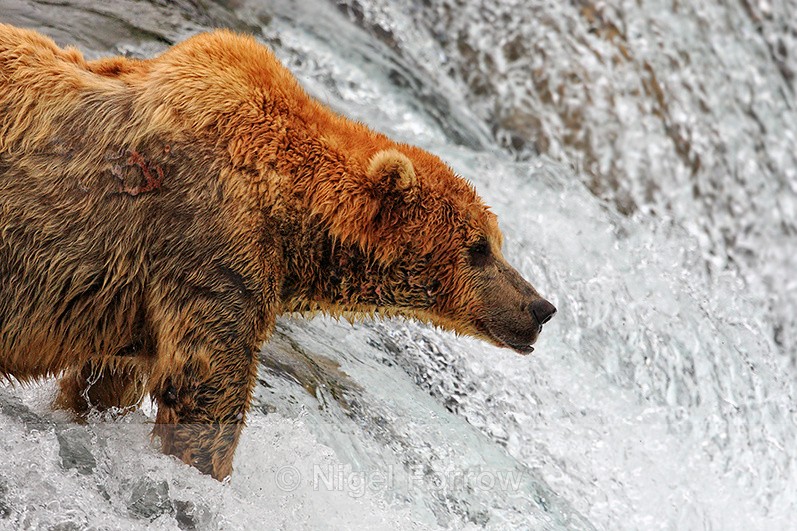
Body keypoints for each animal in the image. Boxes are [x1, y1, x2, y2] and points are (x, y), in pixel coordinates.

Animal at [0, 24, 556, 480]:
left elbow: (107, 381)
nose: (540, 307)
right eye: (478, 248)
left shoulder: (135, 301)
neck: (292, 226)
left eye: (497, 242)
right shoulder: (210, 254)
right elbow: (207, 391)